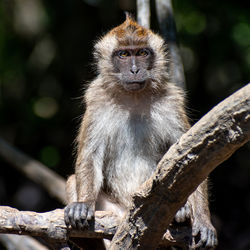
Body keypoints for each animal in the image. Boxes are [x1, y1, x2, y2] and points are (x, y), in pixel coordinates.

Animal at [64, 14, 217, 249]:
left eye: (142, 53)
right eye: (124, 54)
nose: (135, 70)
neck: (134, 98)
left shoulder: (172, 101)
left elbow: (194, 158)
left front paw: (203, 221)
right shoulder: (97, 99)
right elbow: (90, 155)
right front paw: (83, 204)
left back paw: (180, 214)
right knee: (73, 181)